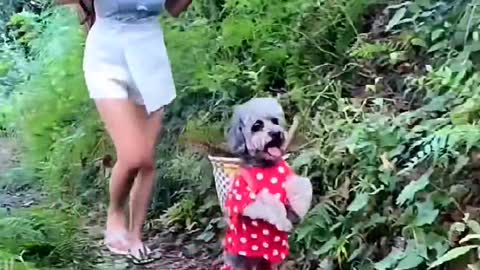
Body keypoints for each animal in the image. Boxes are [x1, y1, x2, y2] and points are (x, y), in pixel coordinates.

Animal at [220, 97, 314, 270]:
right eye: (257, 126)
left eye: (275, 121)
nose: (276, 133)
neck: (266, 166)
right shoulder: (246, 198)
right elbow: (271, 205)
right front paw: (284, 222)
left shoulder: (290, 178)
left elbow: (303, 185)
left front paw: (300, 209)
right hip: (240, 261)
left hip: (265, 263)